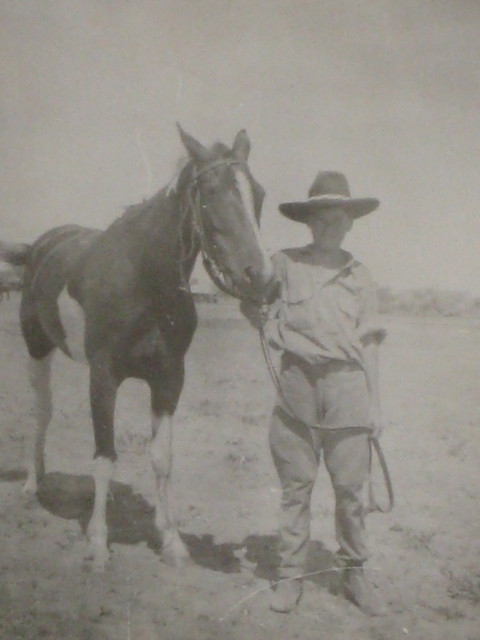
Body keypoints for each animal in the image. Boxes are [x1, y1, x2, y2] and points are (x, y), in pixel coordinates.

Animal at [0, 125, 276, 568]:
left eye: (260, 193)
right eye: (210, 191)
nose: (263, 279)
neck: (143, 280)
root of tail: (36, 249)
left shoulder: (169, 379)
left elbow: (160, 458)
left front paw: (171, 540)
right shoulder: (104, 377)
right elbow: (104, 458)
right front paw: (97, 543)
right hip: (37, 348)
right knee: (41, 412)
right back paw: (31, 482)